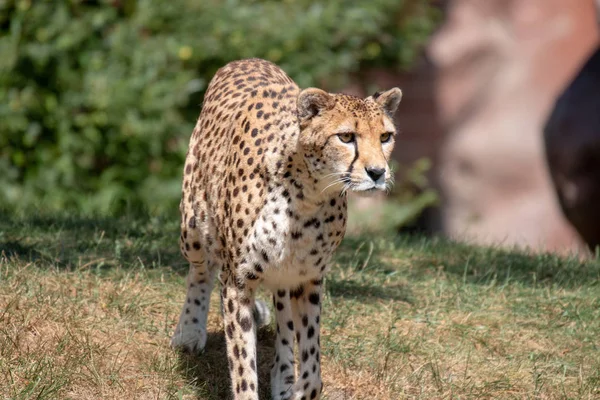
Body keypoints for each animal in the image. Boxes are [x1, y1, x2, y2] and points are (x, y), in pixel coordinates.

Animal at [170, 57, 404, 400]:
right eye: (346, 137)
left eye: (385, 137)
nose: (377, 172)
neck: (307, 194)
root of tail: (247, 59)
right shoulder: (237, 281)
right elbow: (242, 365)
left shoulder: (308, 278)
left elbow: (312, 371)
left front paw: (295, 386)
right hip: (193, 226)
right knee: (201, 271)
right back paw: (189, 330)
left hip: (284, 271)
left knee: (283, 318)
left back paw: (283, 375)